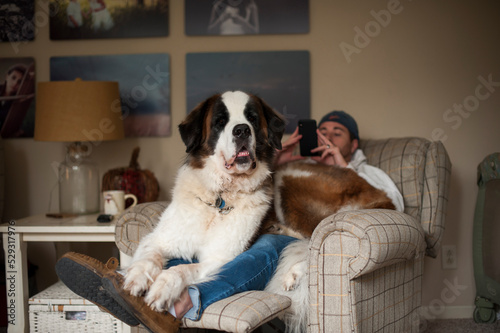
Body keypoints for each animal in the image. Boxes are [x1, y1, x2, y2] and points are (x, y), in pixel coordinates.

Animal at [122, 89, 284, 310]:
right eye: (220, 121)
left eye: (252, 119)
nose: (242, 130)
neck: (219, 199)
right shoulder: (159, 239)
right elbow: (149, 256)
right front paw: (137, 277)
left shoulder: (219, 258)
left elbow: (181, 269)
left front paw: (163, 288)